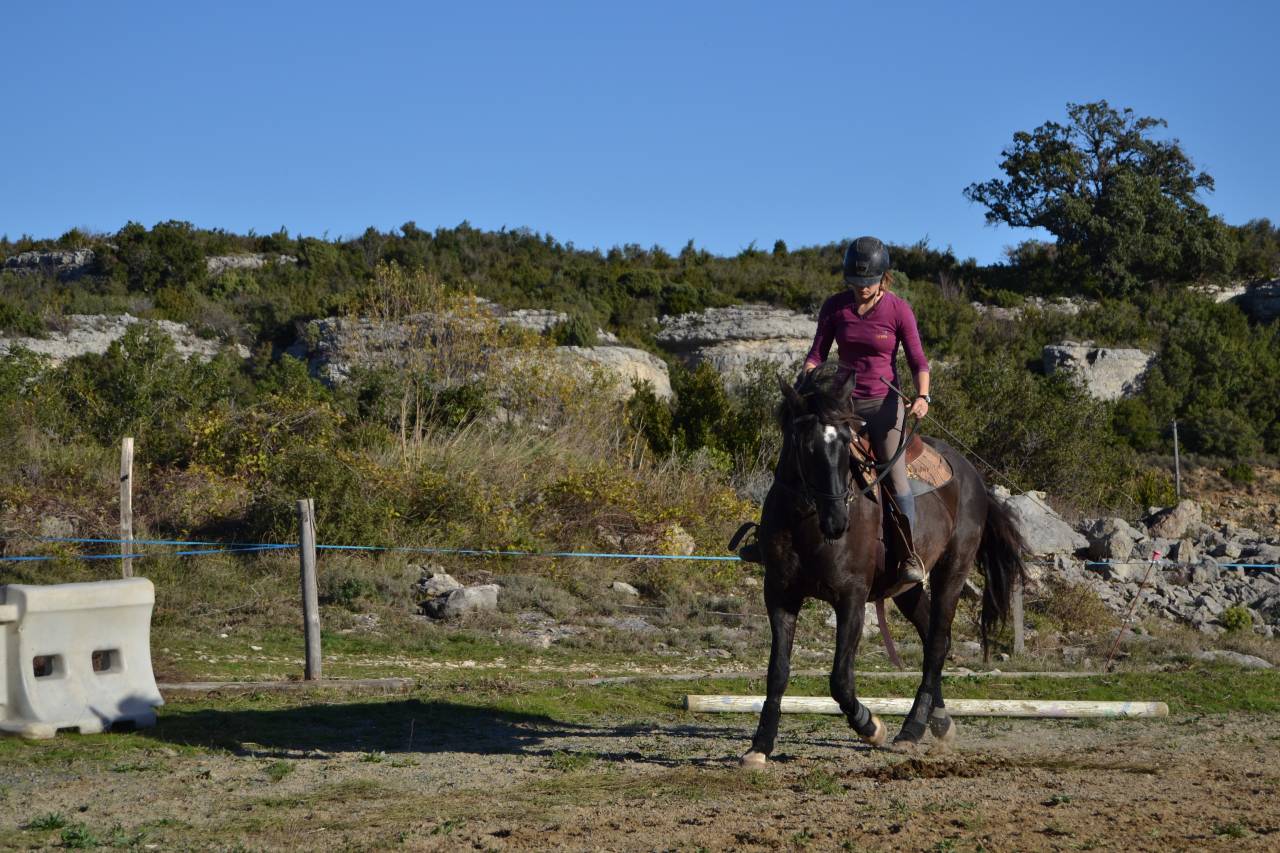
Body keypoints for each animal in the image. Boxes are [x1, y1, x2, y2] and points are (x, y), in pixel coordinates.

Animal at [740, 362, 1026, 766]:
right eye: (804, 446)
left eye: (846, 443)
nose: (837, 522)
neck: (806, 523)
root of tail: (973, 475)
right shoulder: (780, 595)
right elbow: (777, 671)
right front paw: (761, 745)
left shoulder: (851, 597)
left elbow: (840, 679)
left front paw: (870, 725)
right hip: (903, 587)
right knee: (931, 636)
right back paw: (939, 720)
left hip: (952, 571)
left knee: (937, 642)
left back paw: (912, 728)